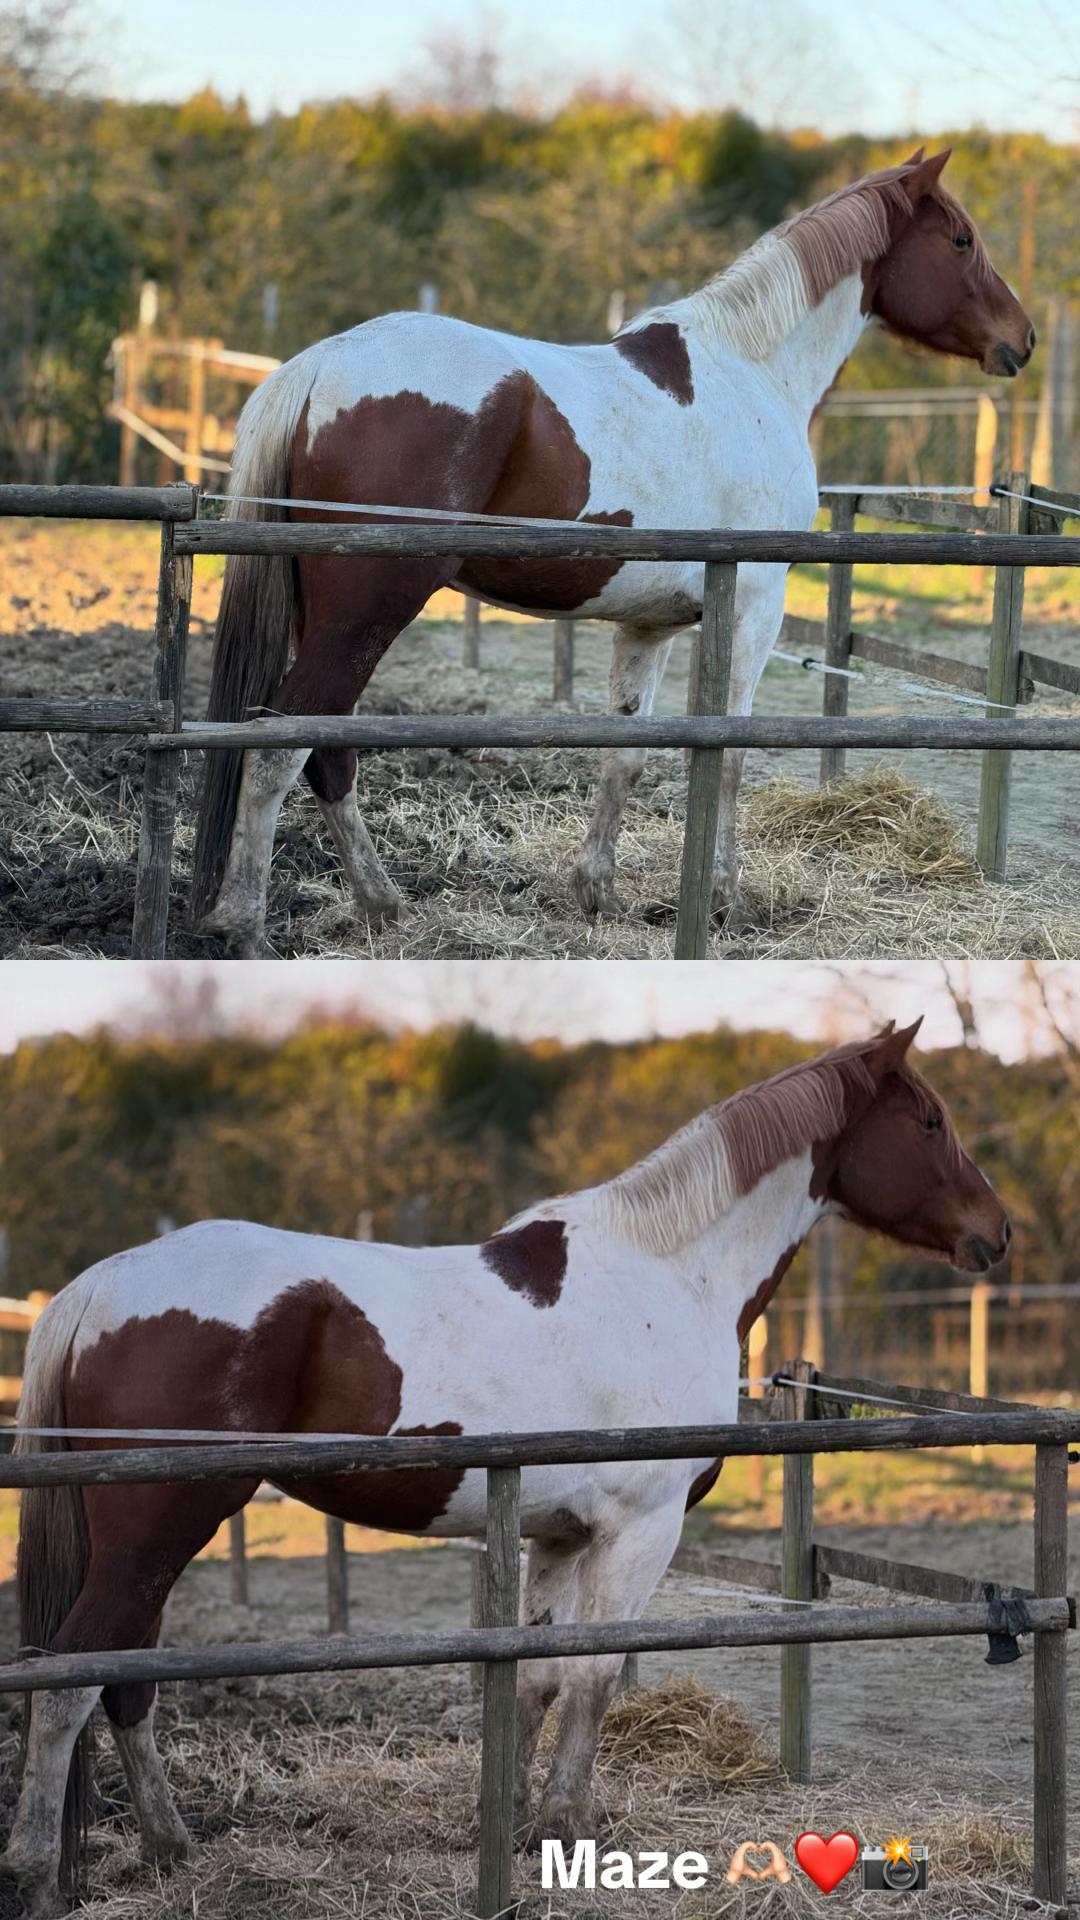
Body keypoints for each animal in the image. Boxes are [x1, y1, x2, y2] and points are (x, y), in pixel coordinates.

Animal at [3, 1018, 1010, 1916]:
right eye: (928, 1121)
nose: (998, 1232)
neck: (664, 1278)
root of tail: (98, 1287)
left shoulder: (559, 1534)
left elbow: (534, 1675)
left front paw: (514, 1827)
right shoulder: (641, 1531)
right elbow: (593, 1675)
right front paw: (569, 1826)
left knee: (126, 1681)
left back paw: (171, 1850)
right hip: (160, 1527)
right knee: (73, 1679)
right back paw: (38, 1873)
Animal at [190, 149, 1034, 955]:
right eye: (961, 239)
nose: (1021, 338)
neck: (752, 373)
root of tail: (321, 363)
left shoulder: (649, 626)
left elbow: (626, 750)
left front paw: (598, 893)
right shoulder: (755, 608)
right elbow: (730, 756)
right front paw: (726, 905)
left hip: (328, 614)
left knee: (325, 753)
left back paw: (382, 907)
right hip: (367, 610)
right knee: (283, 746)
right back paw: (247, 925)